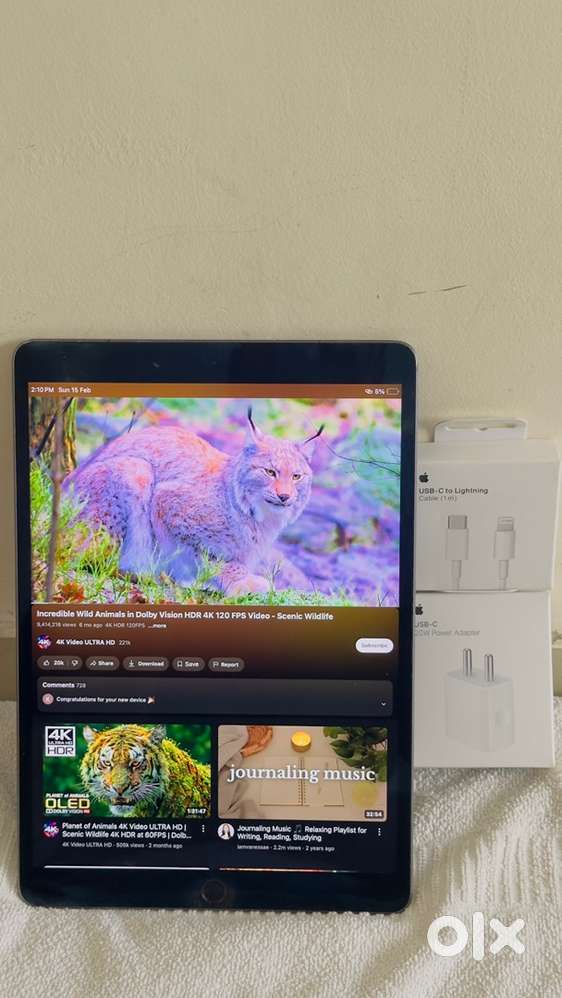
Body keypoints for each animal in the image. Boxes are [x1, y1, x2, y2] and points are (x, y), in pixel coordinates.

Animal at [64, 409, 323, 597]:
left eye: (296, 476)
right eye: (270, 472)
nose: (284, 496)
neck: (255, 515)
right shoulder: (166, 503)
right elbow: (208, 555)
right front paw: (238, 581)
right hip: (136, 469)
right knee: (83, 556)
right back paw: (143, 572)